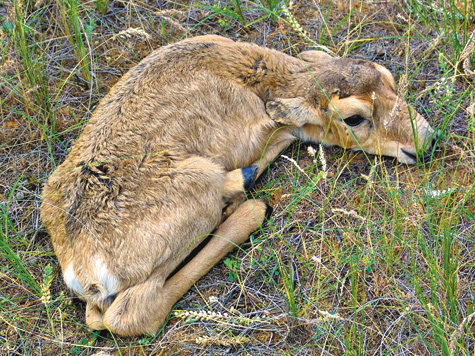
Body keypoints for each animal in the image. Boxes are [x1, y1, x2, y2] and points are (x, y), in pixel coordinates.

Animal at [41, 34, 436, 336]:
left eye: (390, 79)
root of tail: (81, 269)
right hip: (198, 189)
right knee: (132, 312)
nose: (426, 140)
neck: (259, 81)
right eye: (354, 118)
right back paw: (246, 200)